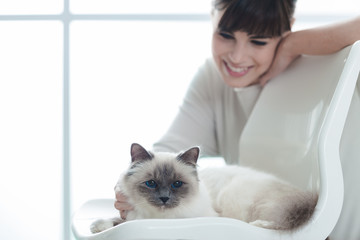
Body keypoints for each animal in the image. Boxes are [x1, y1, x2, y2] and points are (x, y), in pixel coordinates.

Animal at [90, 143, 318, 233]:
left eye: (176, 184)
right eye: (151, 183)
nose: (164, 198)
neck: (158, 217)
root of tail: (310, 197)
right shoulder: (134, 215)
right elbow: (117, 220)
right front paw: (98, 226)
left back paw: (259, 225)